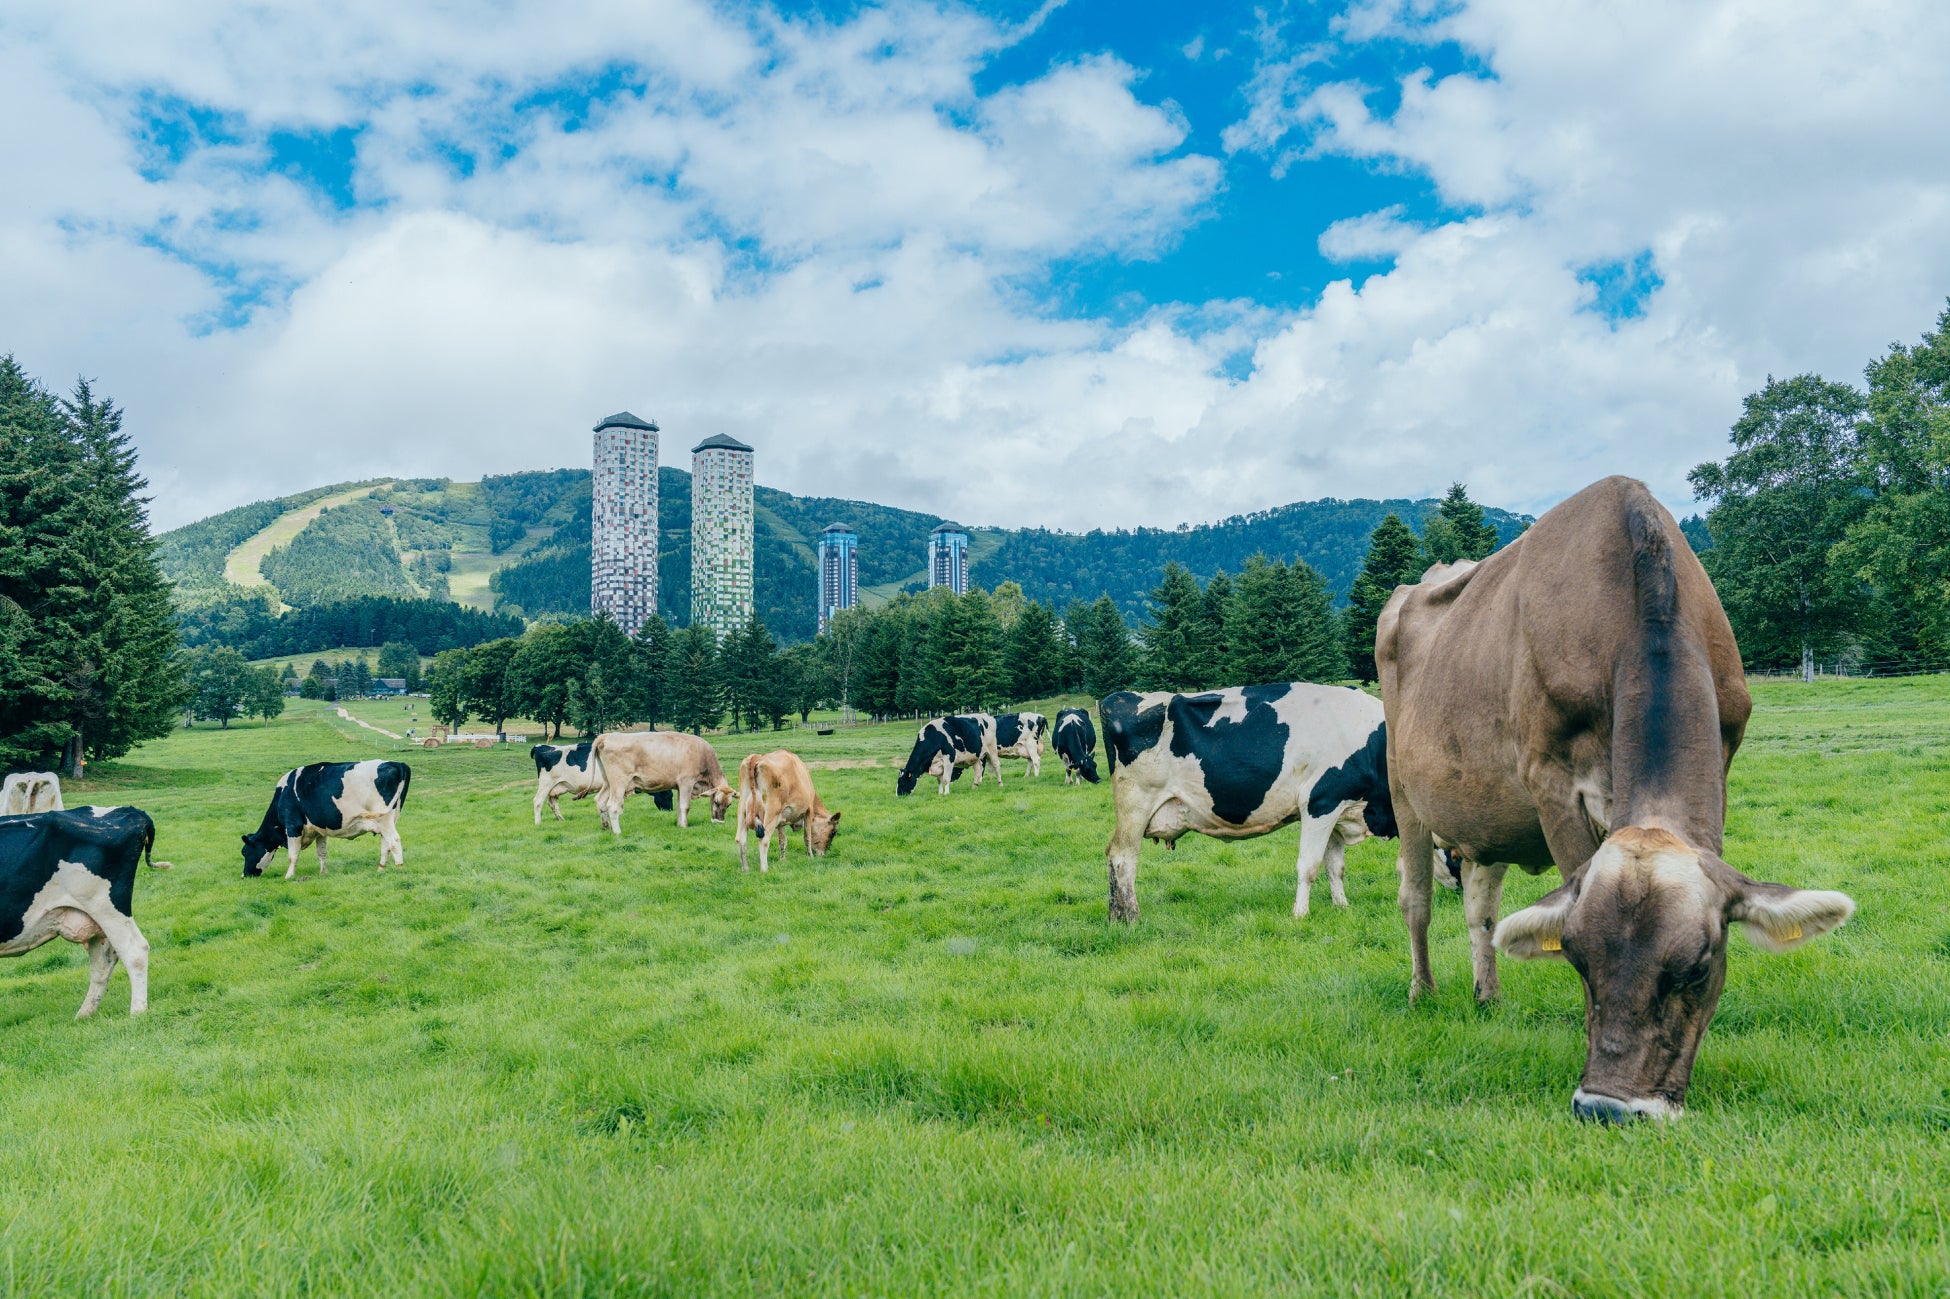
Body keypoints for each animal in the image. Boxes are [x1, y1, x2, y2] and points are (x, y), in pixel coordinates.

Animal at [1, 803, 161, 1014]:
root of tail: (130, 810)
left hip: (106, 906)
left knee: (135, 951)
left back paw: (137, 1012)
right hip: (93, 918)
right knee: (103, 962)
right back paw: (84, 1014)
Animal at [243, 752, 411, 873]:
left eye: (244, 852)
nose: (244, 875)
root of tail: (396, 764)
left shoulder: (292, 826)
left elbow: (293, 855)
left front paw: (289, 876)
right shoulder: (319, 829)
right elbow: (321, 852)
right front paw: (323, 872)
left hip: (384, 818)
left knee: (394, 841)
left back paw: (399, 868)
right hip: (388, 819)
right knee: (386, 843)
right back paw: (380, 869)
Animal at [588, 729, 733, 830]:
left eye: (729, 805)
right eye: (716, 802)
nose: (719, 822)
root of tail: (609, 736)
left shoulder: (679, 786)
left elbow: (679, 806)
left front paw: (679, 825)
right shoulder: (686, 782)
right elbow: (685, 806)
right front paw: (684, 826)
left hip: (608, 782)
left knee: (600, 800)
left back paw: (606, 827)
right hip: (619, 782)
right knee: (613, 806)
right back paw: (617, 832)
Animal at [1099, 678, 1404, 920]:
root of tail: (1119, 697)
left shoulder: (1340, 808)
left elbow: (1335, 867)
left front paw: (1342, 907)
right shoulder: (1320, 802)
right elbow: (1309, 865)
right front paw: (1300, 914)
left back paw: (1116, 915)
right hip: (1135, 804)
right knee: (1122, 856)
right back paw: (1130, 916)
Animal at [1380, 470, 1848, 1115]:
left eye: (1698, 968)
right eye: (1574, 956)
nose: (1608, 1107)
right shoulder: (1550, 782)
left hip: (1485, 814)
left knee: (1481, 908)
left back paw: (1487, 996)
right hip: (1403, 790)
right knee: (1417, 901)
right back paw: (1422, 993)